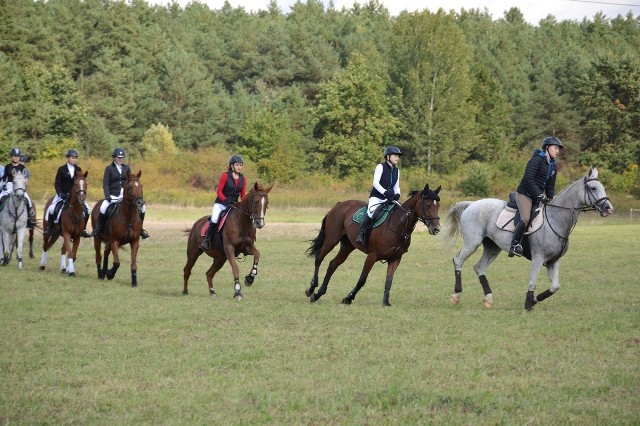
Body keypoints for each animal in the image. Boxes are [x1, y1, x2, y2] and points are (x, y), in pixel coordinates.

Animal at [304, 183, 440, 306]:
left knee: (333, 264)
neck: (398, 225)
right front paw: (348, 298)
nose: (436, 229)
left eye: (438, 206)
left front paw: (386, 302)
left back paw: (318, 293)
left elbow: (389, 281)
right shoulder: (372, 256)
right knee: (319, 259)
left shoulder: (395, 259)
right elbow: (362, 280)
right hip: (331, 240)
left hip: (348, 246)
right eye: (428, 205)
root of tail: (340, 204)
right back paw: (311, 288)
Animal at [440, 168, 616, 312]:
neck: (556, 219)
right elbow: (533, 282)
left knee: (479, 268)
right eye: (593, 188)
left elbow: (555, 287)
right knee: (458, 261)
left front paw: (535, 300)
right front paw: (528, 303)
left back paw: (488, 299)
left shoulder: (553, 260)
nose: (609, 209)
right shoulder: (538, 258)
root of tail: (472, 204)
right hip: (472, 243)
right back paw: (456, 296)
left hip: (493, 247)